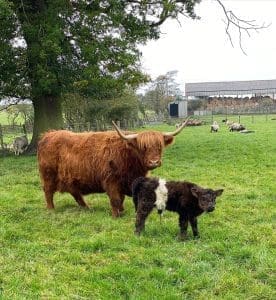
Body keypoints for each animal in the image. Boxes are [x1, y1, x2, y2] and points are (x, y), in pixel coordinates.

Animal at [37, 118, 190, 217]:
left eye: (159, 146)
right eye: (143, 147)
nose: (154, 162)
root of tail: (48, 134)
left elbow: (121, 199)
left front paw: (122, 211)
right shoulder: (111, 181)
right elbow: (115, 199)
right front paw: (116, 215)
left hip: (71, 178)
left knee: (75, 192)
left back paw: (87, 207)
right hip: (48, 175)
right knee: (48, 191)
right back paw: (51, 209)